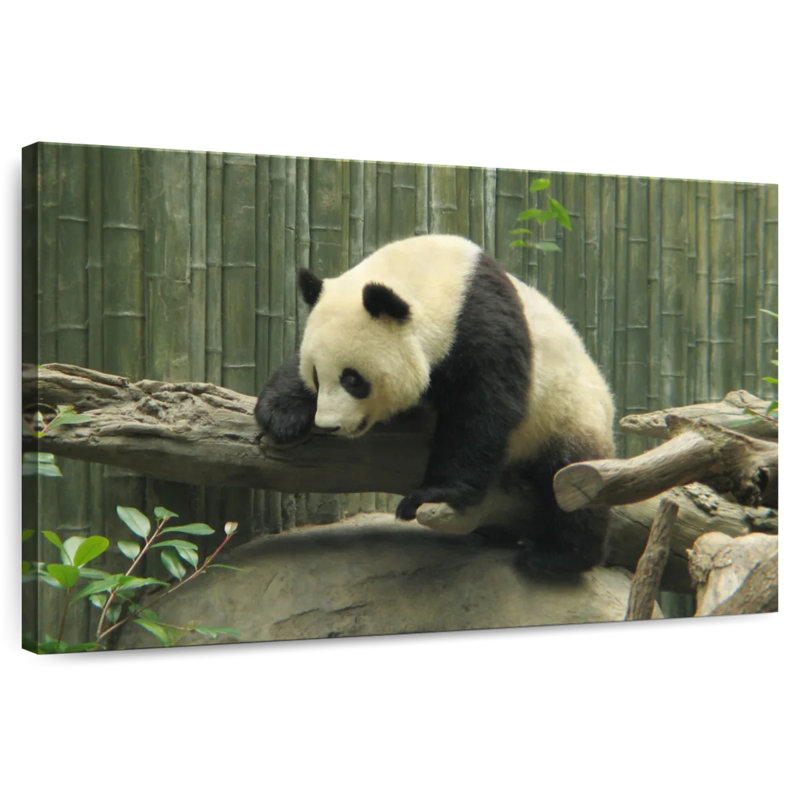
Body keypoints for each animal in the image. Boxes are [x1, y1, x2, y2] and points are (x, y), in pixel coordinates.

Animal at [255, 234, 615, 572]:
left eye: (353, 380)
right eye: (317, 375)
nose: (329, 425)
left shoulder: (484, 326)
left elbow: (483, 410)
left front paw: (433, 493)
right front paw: (280, 413)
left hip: (569, 413)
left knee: (570, 483)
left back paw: (556, 557)